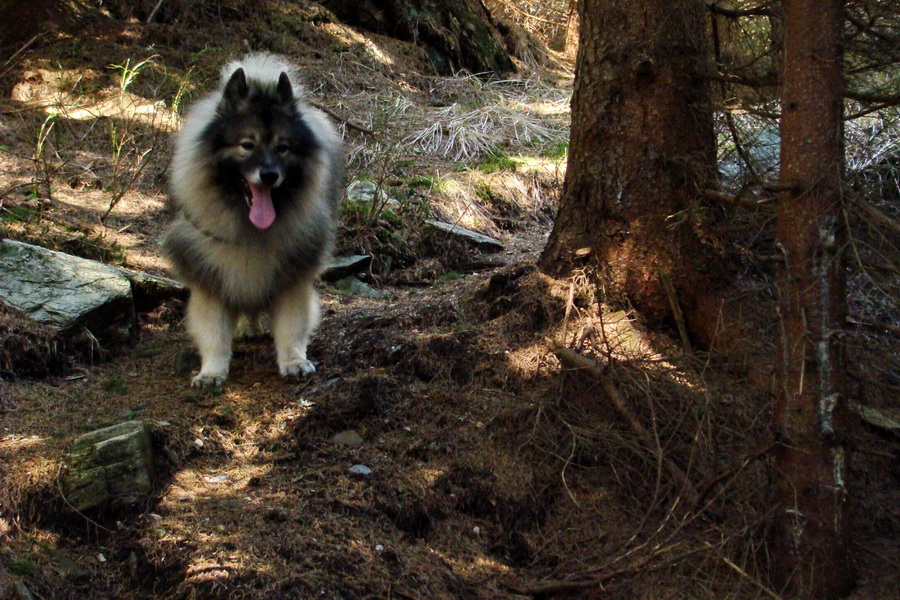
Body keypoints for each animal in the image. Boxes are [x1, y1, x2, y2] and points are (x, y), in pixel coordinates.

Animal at [163, 54, 342, 386]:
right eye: (247, 145)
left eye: (283, 148)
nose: (269, 175)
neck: (250, 228)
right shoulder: (211, 279)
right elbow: (215, 334)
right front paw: (211, 372)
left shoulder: (292, 277)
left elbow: (291, 327)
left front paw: (294, 362)